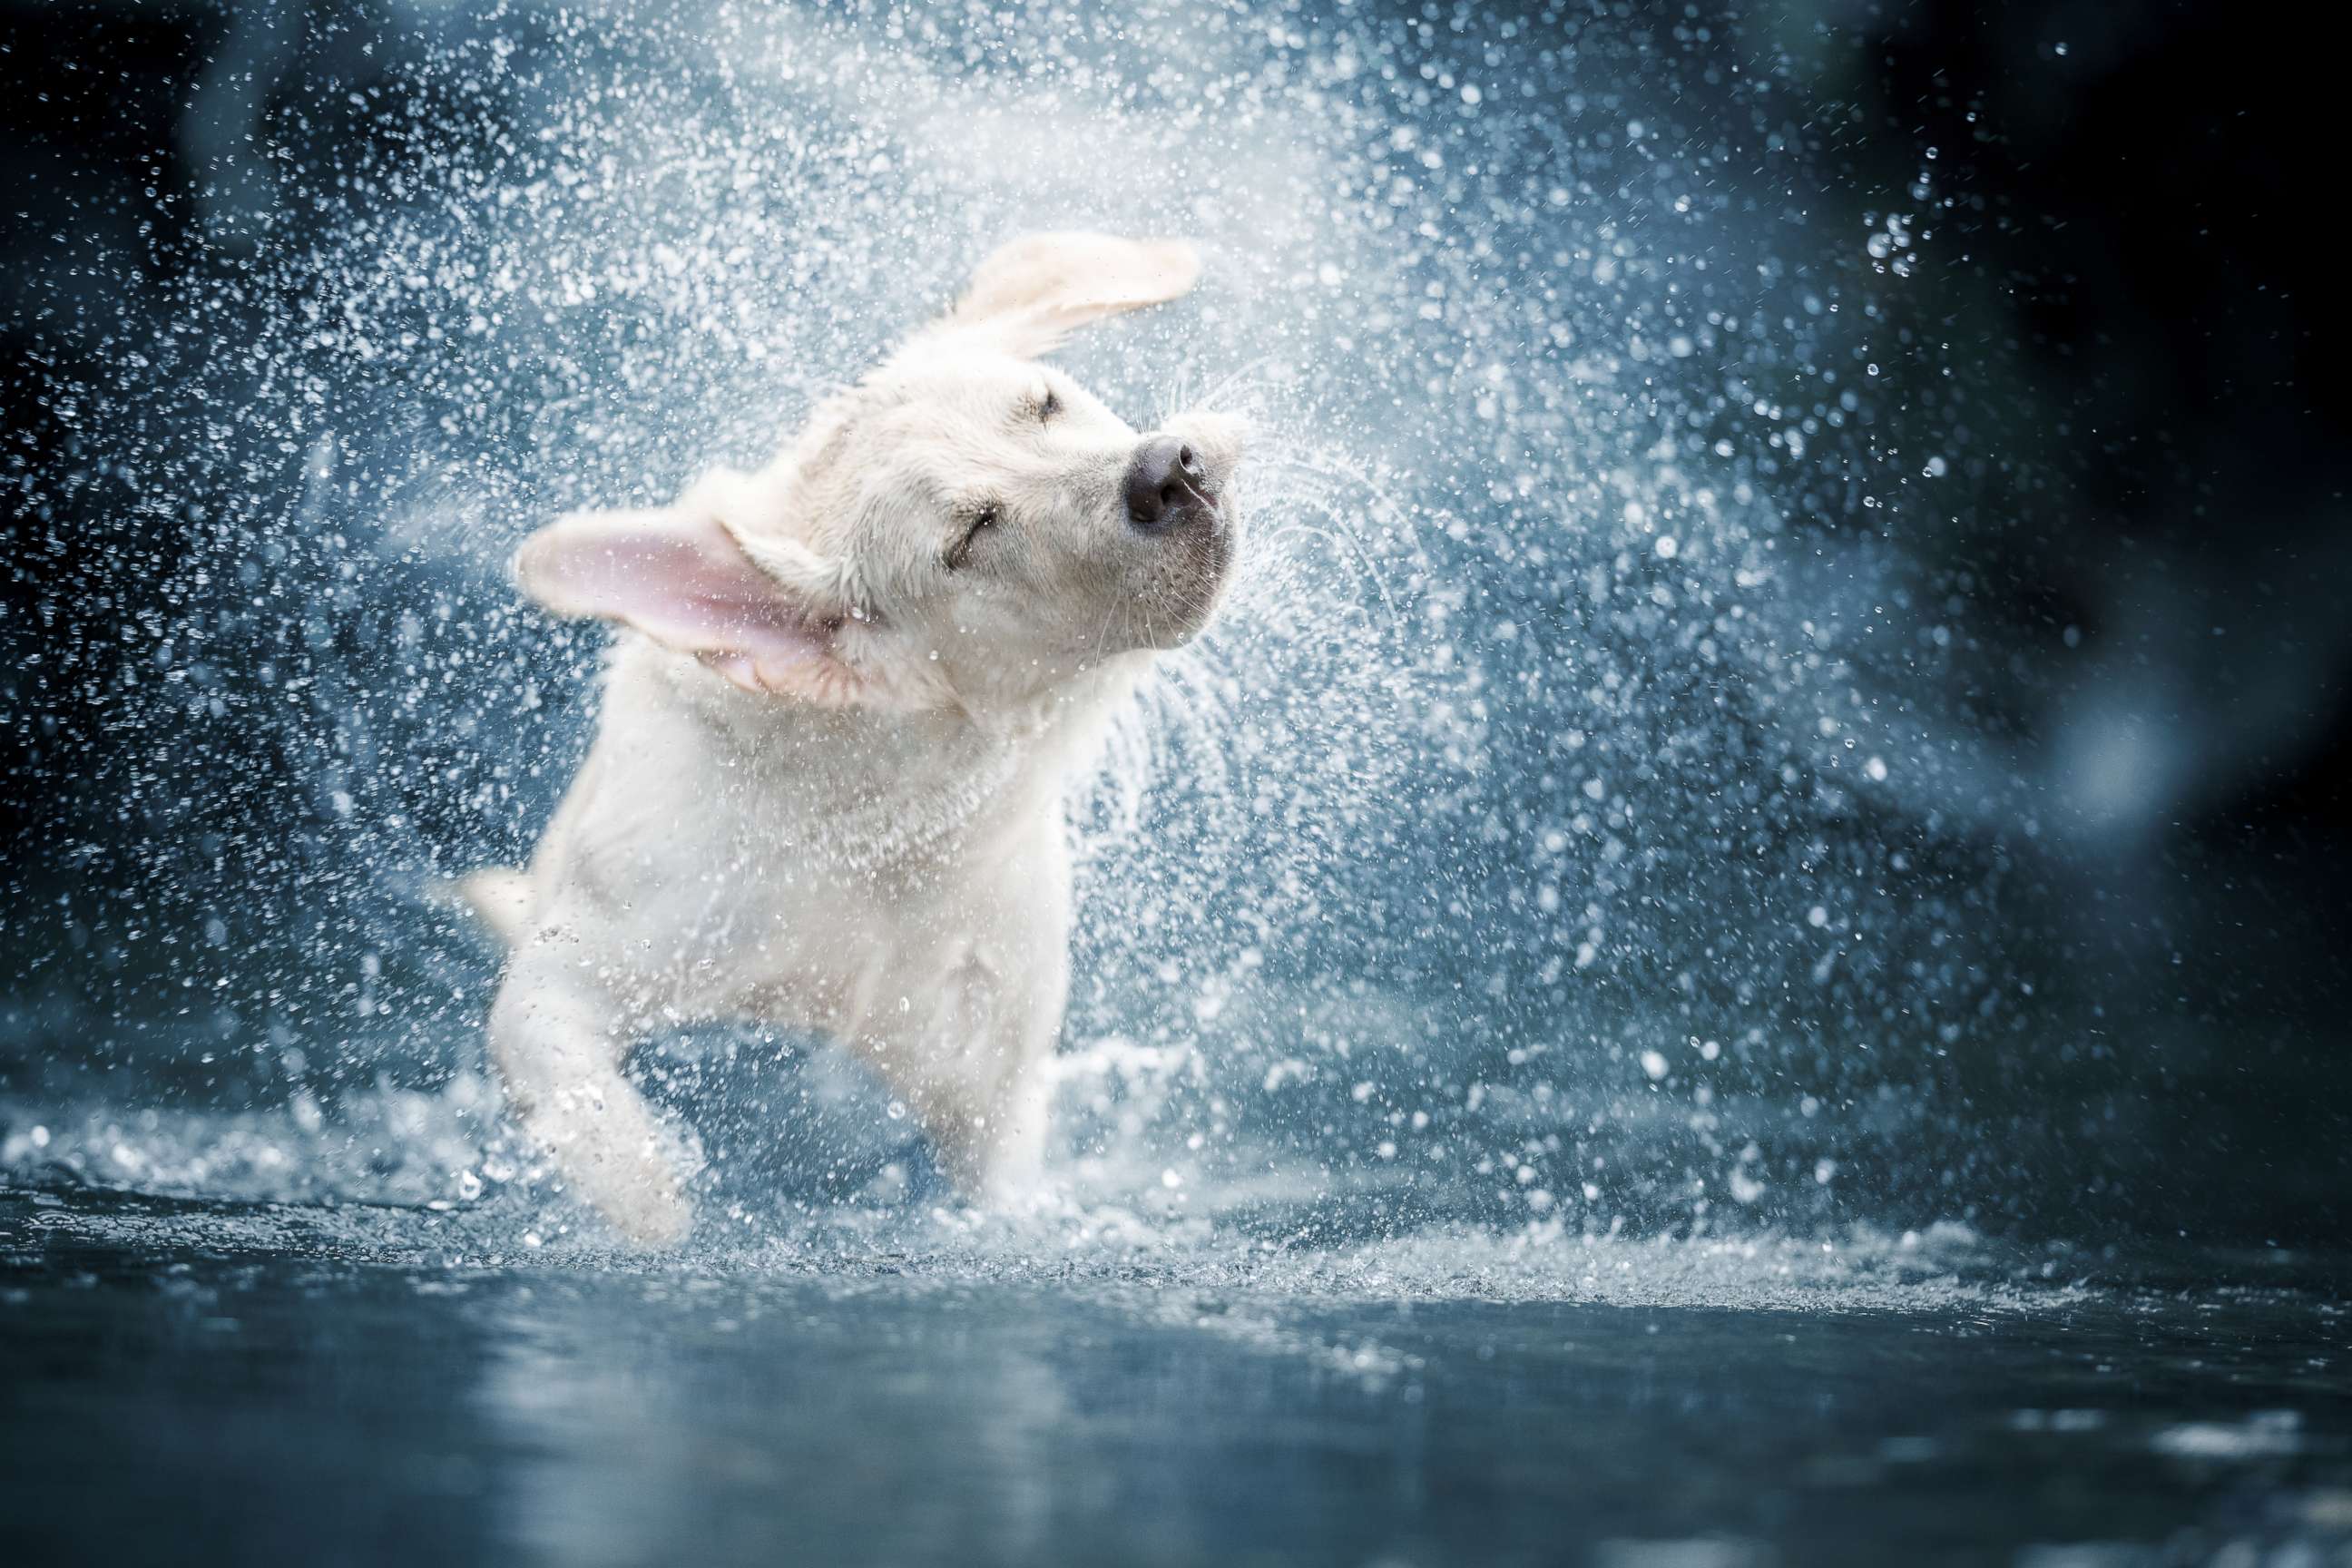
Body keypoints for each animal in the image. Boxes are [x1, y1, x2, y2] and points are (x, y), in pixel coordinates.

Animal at [461, 232, 1260, 1240]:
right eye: (971, 536)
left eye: (1045, 399)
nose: (1167, 469)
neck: (883, 822)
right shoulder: (593, 949)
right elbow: (590, 1114)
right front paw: (660, 1211)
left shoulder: (995, 1075)